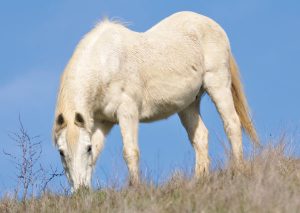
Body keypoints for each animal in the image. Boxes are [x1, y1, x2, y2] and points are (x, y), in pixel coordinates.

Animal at [51, 10, 258, 191]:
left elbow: (130, 152)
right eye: (61, 152)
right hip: (188, 104)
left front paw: (135, 188)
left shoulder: (127, 112)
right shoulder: (103, 122)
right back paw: (199, 180)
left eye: (85, 148)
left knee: (232, 124)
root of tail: (212, 24)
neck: (106, 64)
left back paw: (238, 170)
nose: (80, 190)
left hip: (218, 84)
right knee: (200, 137)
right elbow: (96, 155)